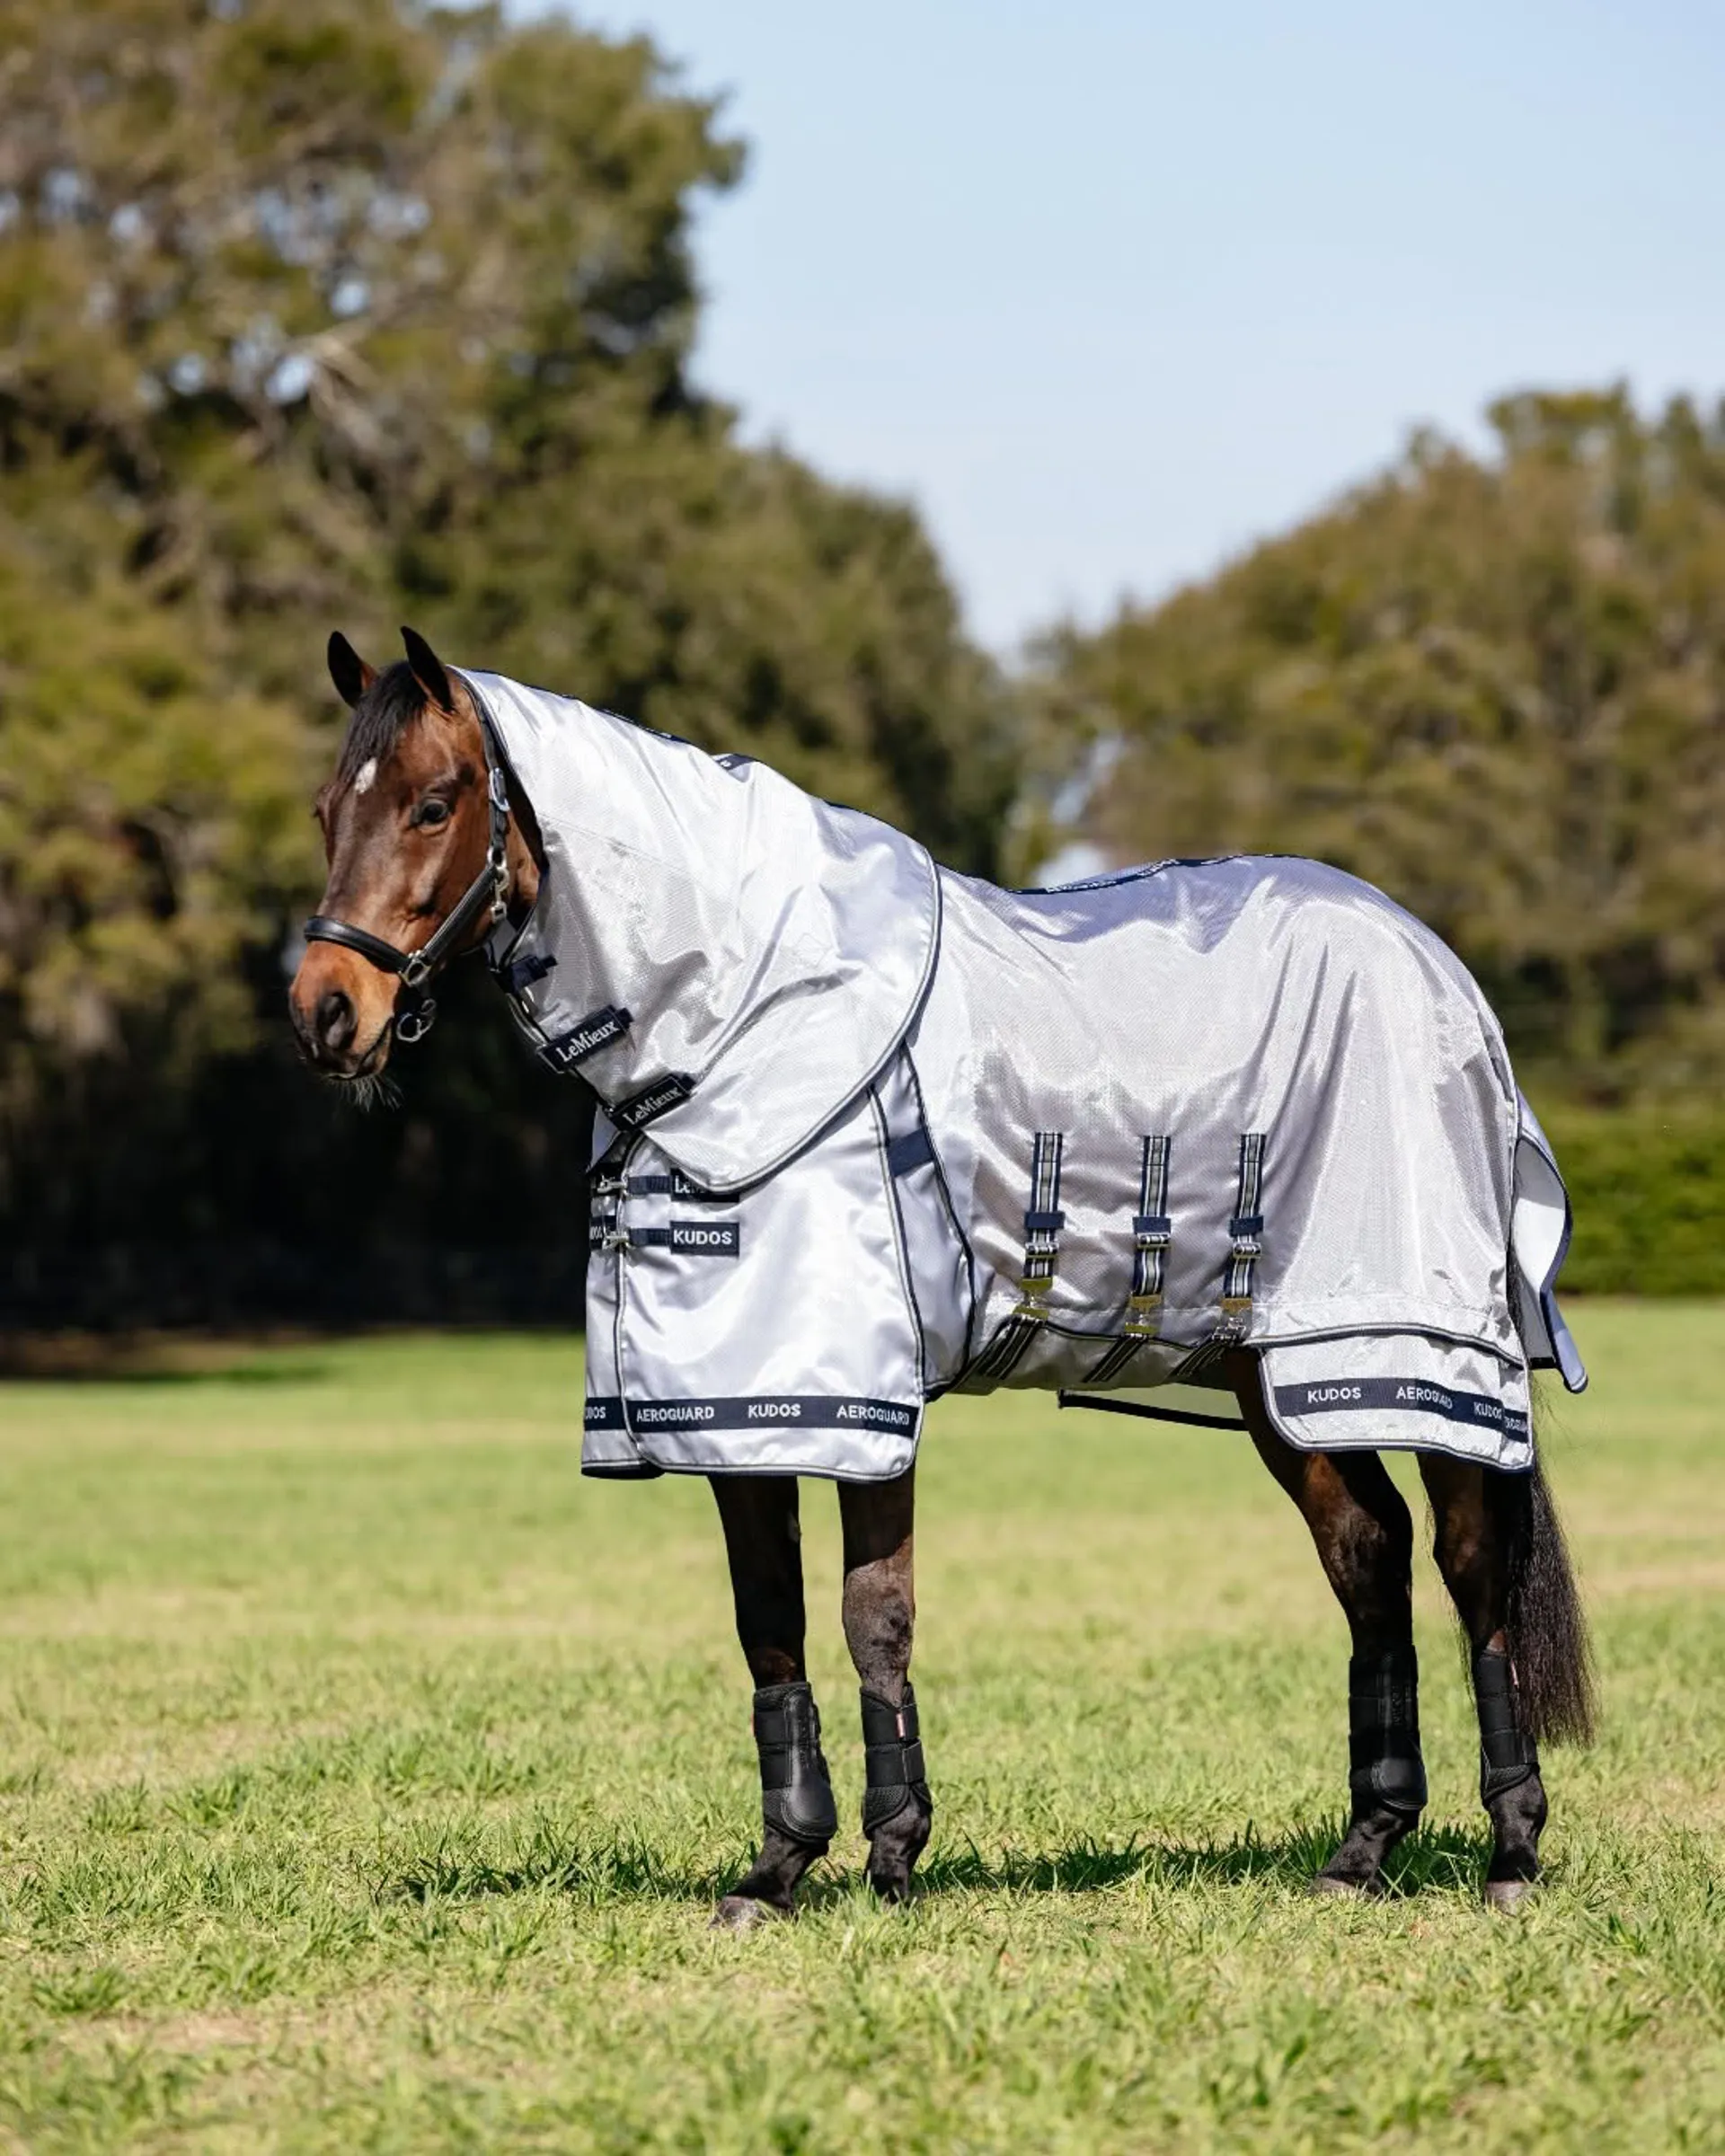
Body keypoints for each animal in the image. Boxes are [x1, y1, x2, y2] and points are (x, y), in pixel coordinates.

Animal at [289, 625, 1595, 1927]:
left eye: (435, 803)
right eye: (324, 810)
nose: (325, 1014)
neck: (745, 1013)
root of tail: (1440, 968)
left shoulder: (856, 1399)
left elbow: (874, 1614)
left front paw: (890, 1855)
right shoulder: (734, 1410)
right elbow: (770, 1621)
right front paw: (781, 1867)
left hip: (1409, 1351)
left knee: (1469, 1567)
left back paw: (1512, 1851)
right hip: (1277, 1376)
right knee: (1369, 1558)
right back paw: (1364, 1847)